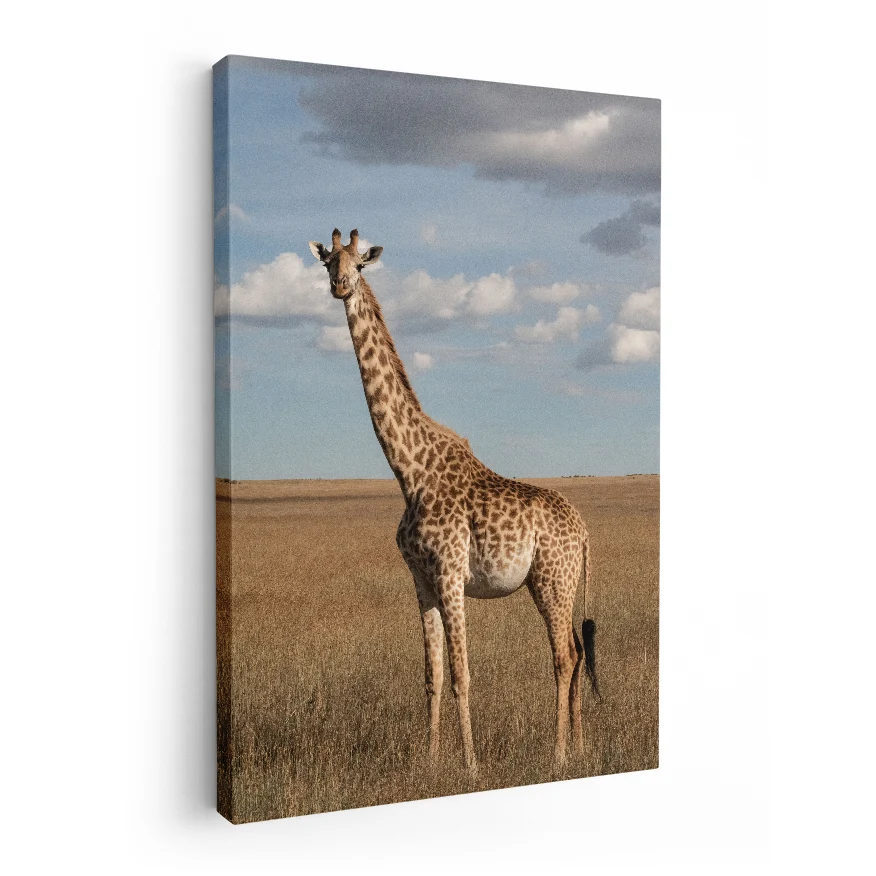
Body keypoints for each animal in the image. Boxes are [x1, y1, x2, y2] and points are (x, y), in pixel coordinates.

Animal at [308, 229, 601, 775]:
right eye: (327, 262)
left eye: (361, 263)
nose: (340, 286)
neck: (409, 471)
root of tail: (585, 530)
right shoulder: (421, 579)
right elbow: (433, 676)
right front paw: (429, 762)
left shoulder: (449, 573)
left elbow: (463, 675)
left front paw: (470, 765)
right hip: (556, 583)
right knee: (575, 648)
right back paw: (580, 748)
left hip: (552, 580)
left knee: (565, 657)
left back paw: (556, 756)